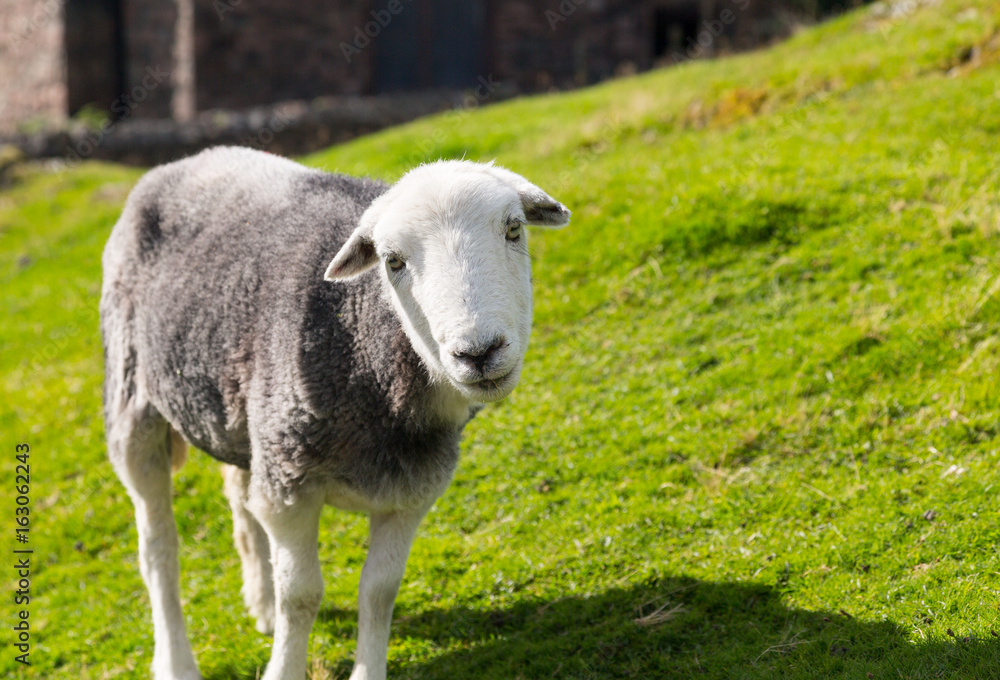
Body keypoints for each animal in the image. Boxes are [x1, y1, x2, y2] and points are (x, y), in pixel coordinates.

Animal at [100, 145, 570, 680]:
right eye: (392, 261)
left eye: (514, 229)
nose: (478, 352)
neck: (364, 347)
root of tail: (183, 160)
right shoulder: (289, 487)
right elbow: (302, 596)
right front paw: (283, 668)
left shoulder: (411, 491)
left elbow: (380, 591)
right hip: (133, 401)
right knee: (158, 548)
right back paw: (177, 660)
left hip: (243, 411)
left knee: (239, 495)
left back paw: (259, 602)